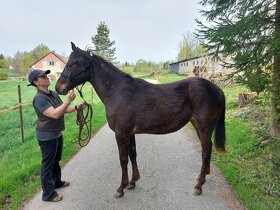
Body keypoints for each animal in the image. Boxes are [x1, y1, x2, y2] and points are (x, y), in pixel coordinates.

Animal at [54, 42, 225, 197]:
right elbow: (133, 154)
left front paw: (121, 188)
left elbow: (123, 159)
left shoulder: (121, 133)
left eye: (72, 63)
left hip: (204, 127)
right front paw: (132, 182)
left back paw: (199, 185)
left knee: (205, 150)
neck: (118, 91)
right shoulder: (130, 133)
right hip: (197, 125)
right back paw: (202, 176)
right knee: (207, 149)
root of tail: (217, 89)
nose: (58, 88)